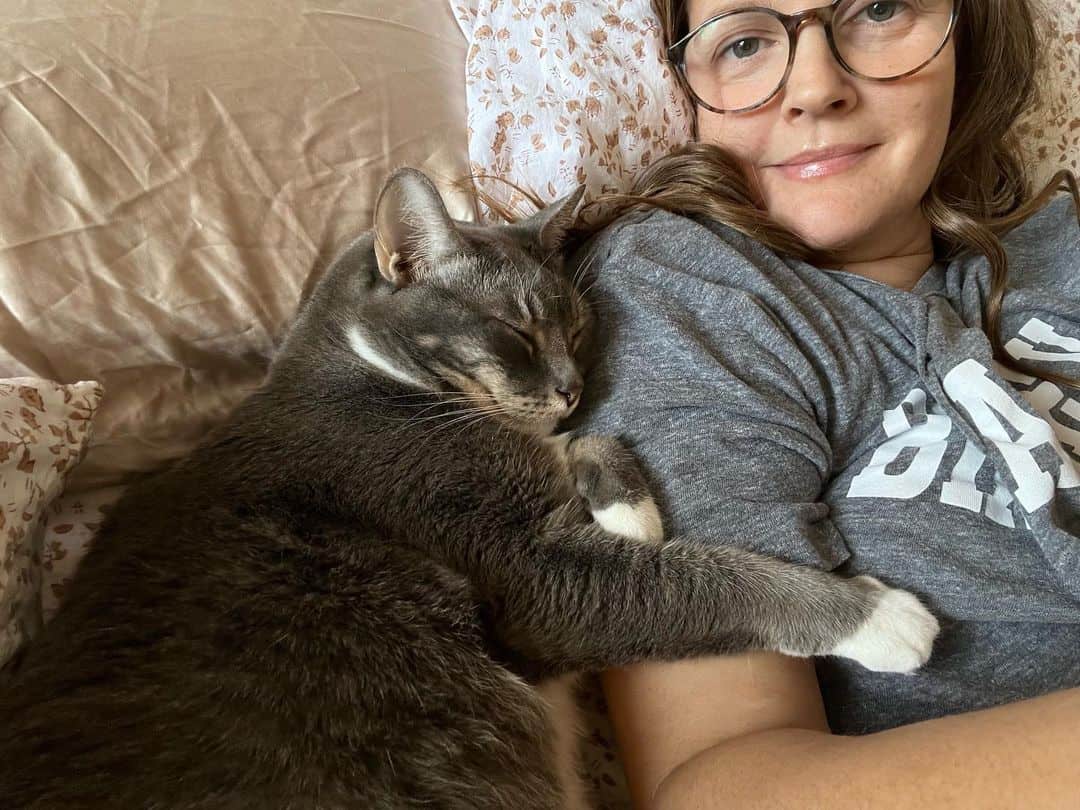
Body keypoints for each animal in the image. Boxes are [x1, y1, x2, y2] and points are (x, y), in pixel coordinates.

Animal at [0, 166, 937, 810]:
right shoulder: (531, 575)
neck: (366, 370)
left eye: (578, 328)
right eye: (516, 332)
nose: (569, 385)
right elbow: (709, 579)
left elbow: (595, 448)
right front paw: (879, 616)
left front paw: (623, 502)